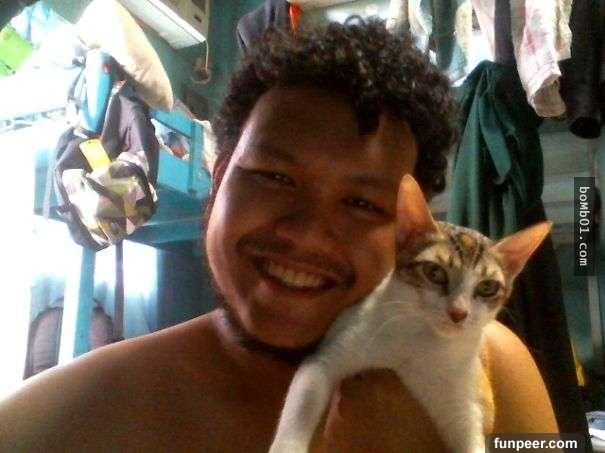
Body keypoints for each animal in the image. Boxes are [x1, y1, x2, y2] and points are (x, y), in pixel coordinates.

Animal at [269, 174, 552, 453]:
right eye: (435, 272)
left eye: (487, 287)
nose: (458, 312)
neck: (422, 339)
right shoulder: (324, 359)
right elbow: (303, 400)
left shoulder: (465, 404)